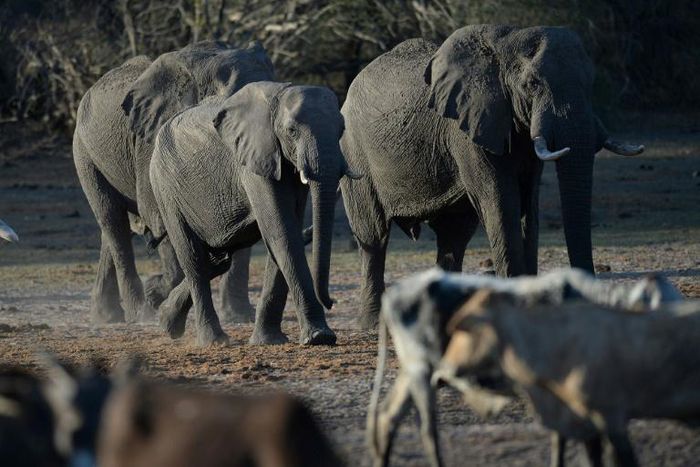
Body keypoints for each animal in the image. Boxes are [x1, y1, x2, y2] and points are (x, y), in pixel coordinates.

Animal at [72, 41, 273, 325]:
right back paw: (140, 313)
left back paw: (107, 316)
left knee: (112, 229)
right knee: (113, 221)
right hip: (84, 152)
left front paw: (239, 317)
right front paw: (155, 293)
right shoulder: (152, 141)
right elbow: (158, 216)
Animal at [150, 81, 358, 346]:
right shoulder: (254, 161)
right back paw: (214, 341)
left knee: (218, 258)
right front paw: (319, 337)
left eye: (342, 129)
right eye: (291, 131)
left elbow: (284, 232)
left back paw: (166, 322)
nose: (331, 302)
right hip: (166, 188)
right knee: (193, 258)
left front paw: (269, 341)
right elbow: (282, 231)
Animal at [339, 25, 644, 328]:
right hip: (353, 152)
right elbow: (501, 202)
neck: (505, 45)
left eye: (590, 83)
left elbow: (528, 205)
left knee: (453, 236)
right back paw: (373, 323)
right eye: (532, 84)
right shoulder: (467, 128)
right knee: (374, 237)